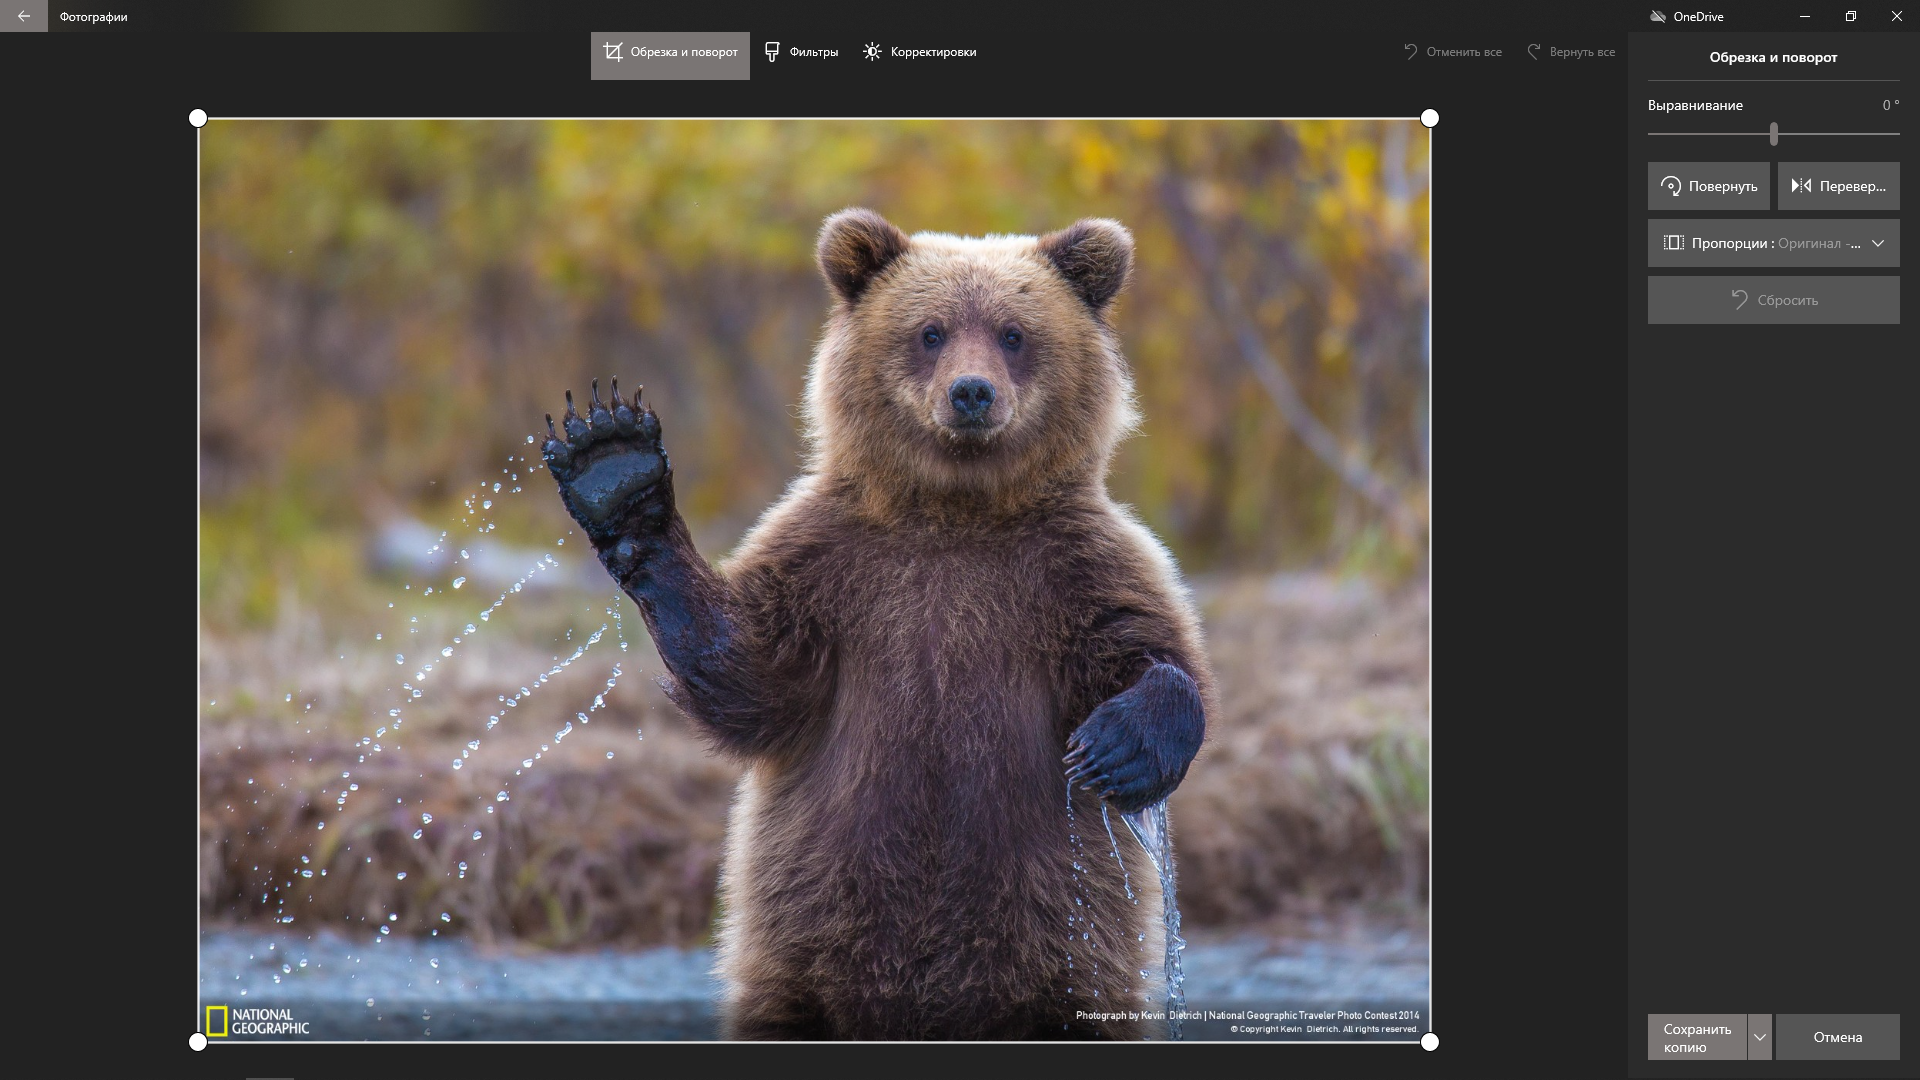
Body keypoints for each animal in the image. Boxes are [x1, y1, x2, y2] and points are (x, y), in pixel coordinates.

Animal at [541, 210, 1205, 1037]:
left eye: (1014, 332)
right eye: (930, 331)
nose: (972, 393)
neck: (955, 510)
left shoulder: (1073, 568)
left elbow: (1149, 649)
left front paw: (1117, 748)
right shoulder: (836, 568)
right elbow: (751, 674)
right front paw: (614, 465)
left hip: (1063, 953)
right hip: (803, 949)